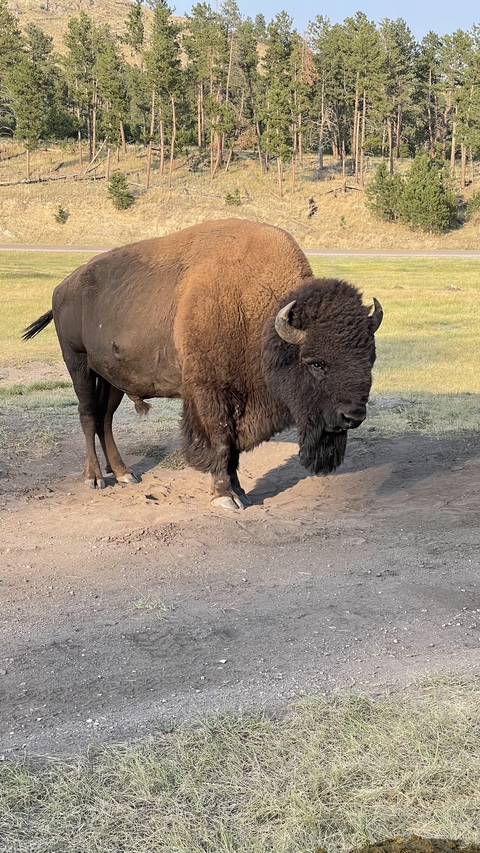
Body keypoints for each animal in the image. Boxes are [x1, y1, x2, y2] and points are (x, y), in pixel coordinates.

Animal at [23, 219, 383, 510]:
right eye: (316, 363)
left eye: (370, 358)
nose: (353, 416)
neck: (258, 316)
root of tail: (62, 287)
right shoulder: (210, 393)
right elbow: (222, 441)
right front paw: (225, 496)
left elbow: (235, 448)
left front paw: (241, 493)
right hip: (78, 364)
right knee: (87, 416)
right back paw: (95, 478)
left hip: (113, 380)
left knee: (105, 420)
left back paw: (125, 473)